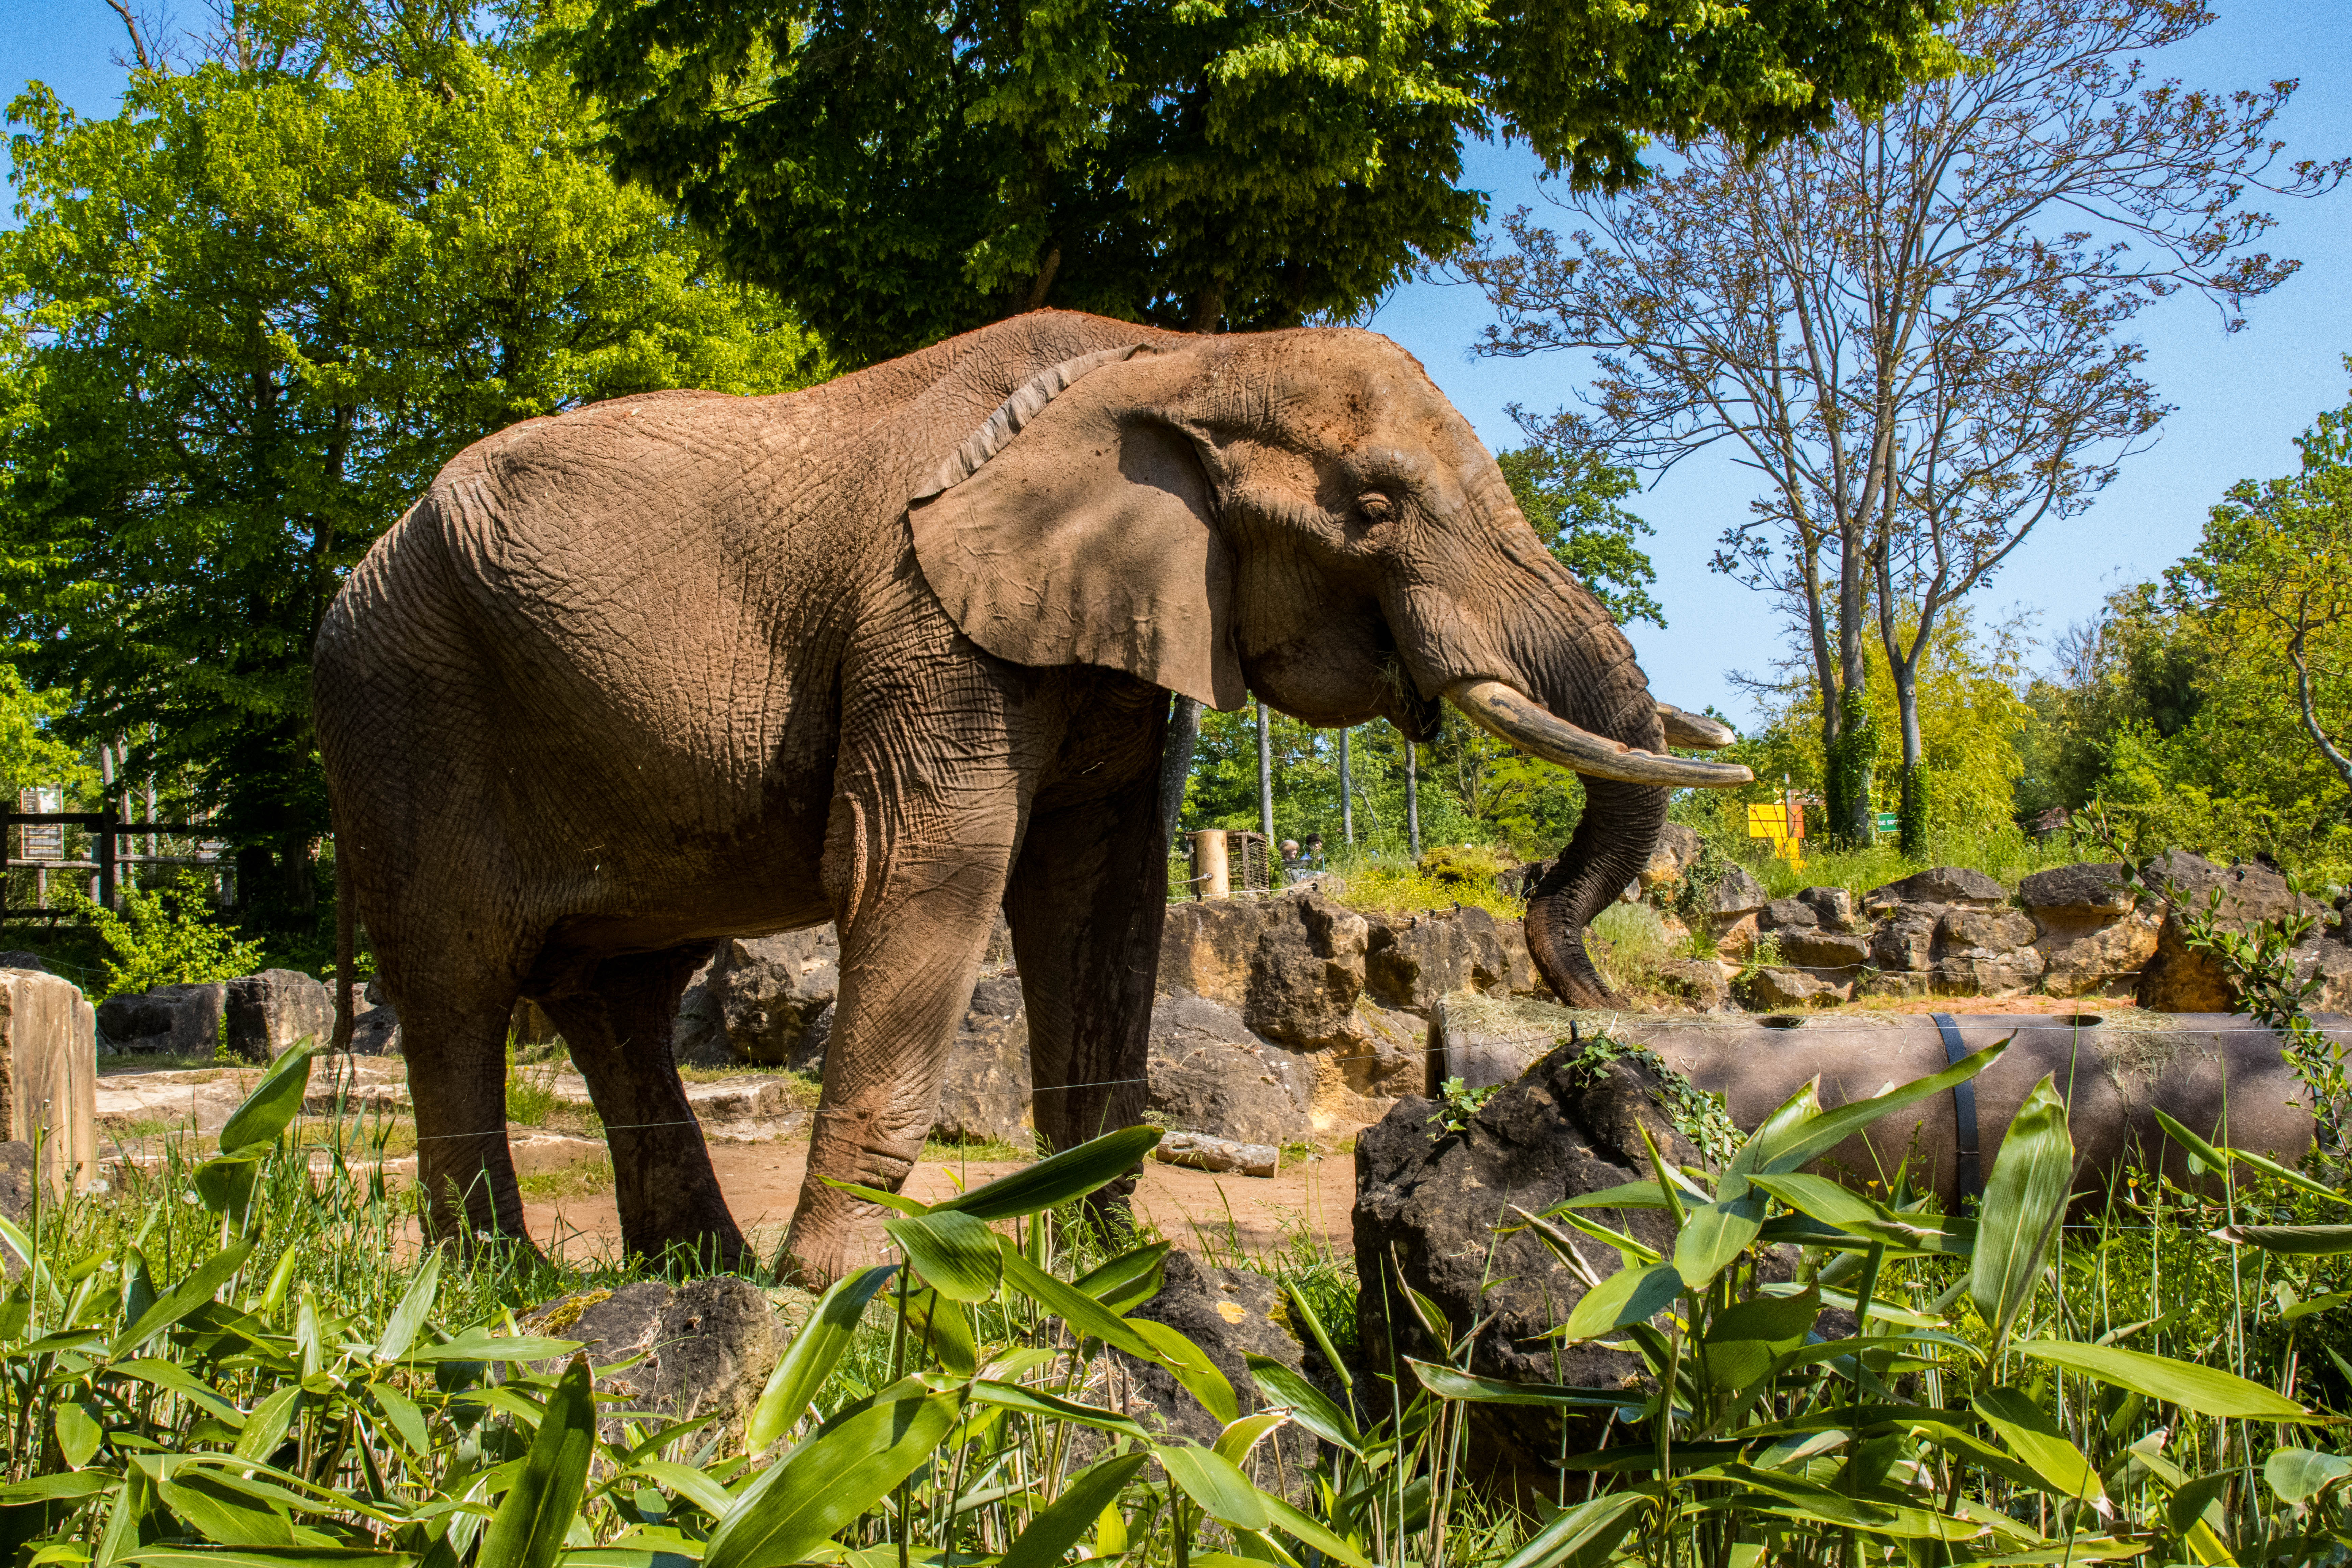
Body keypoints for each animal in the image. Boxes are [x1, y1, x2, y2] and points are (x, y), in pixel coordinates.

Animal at [308, 313, 1750, 1279]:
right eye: (1376, 505)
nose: (1591, 1007)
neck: (1172, 356)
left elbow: (1101, 905)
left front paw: (1110, 1275)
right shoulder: (928, 619)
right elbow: (925, 876)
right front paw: (835, 1301)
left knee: (618, 992)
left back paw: (692, 1275)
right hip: (398, 709)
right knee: (457, 983)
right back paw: (499, 1295)